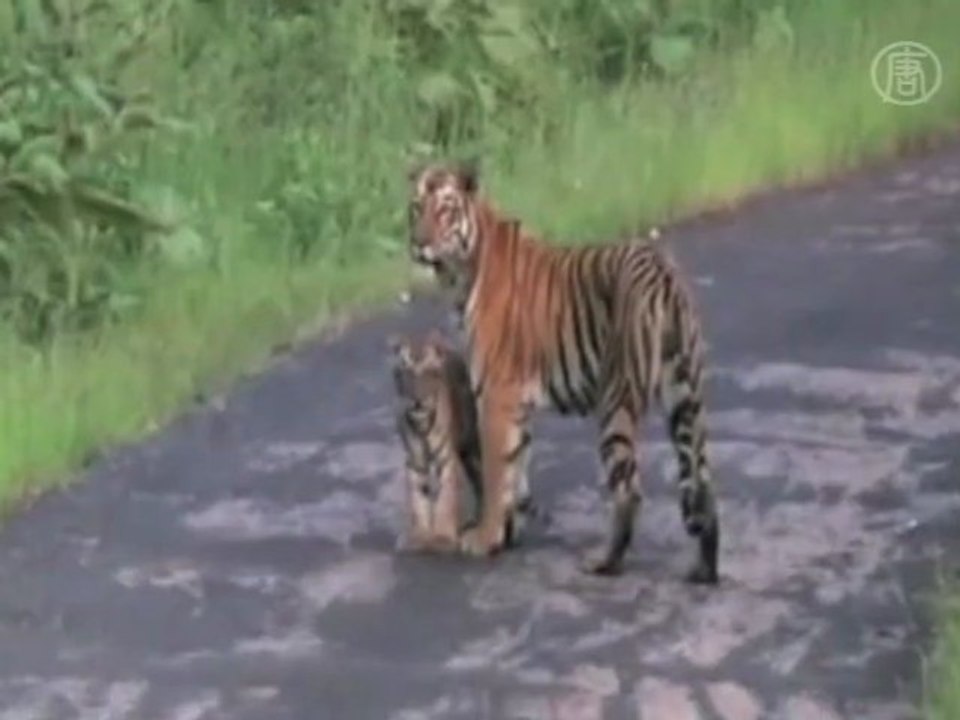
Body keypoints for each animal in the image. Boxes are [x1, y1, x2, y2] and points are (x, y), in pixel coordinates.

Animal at [404, 160, 720, 584]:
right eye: (417, 207)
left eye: (444, 210)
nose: (419, 243)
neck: (462, 269)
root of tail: (662, 272)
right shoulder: (516, 405)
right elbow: (516, 470)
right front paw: (508, 533)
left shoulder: (496, 395)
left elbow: (495, 473)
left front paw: (485, 537)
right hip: (686, 398)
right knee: (703, 482)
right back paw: (704, 569)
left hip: (616, 399)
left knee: (630, 490)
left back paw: (605, 562)